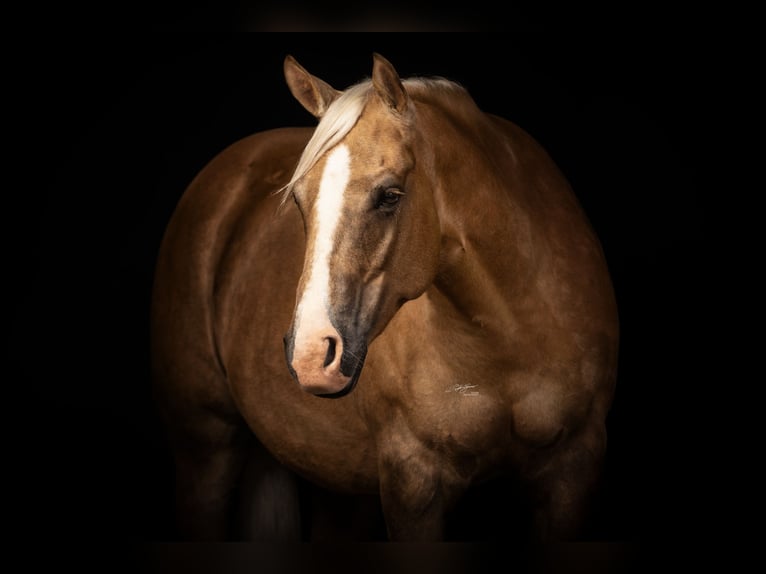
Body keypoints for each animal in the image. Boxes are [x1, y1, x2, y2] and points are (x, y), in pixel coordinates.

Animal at [150, 53, 620, 541]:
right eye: (299, 199)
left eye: (390, 195)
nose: (311, 355)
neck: (507, 339)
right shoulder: (414, 484)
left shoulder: (572, 470)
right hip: (205, 448)